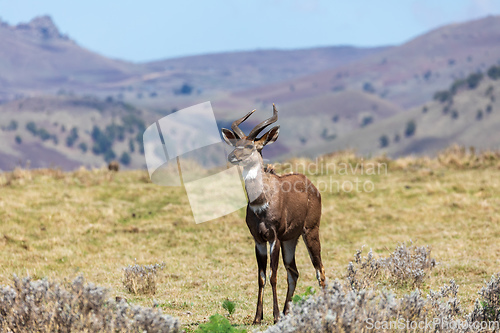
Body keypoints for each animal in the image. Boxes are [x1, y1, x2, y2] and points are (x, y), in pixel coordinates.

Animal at [221, 105, 326, 322]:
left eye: (251, 146)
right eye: (236, 143)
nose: (232, 157)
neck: (261, 202)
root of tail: (313, 187)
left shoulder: (274, 237)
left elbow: (273, 275)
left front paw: (275, 315)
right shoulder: (259, 240)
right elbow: (261, 277)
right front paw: (257, 317)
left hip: (310, 231)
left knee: (319, 269)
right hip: (290, 240)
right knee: (294, 272)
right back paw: (287, 312)